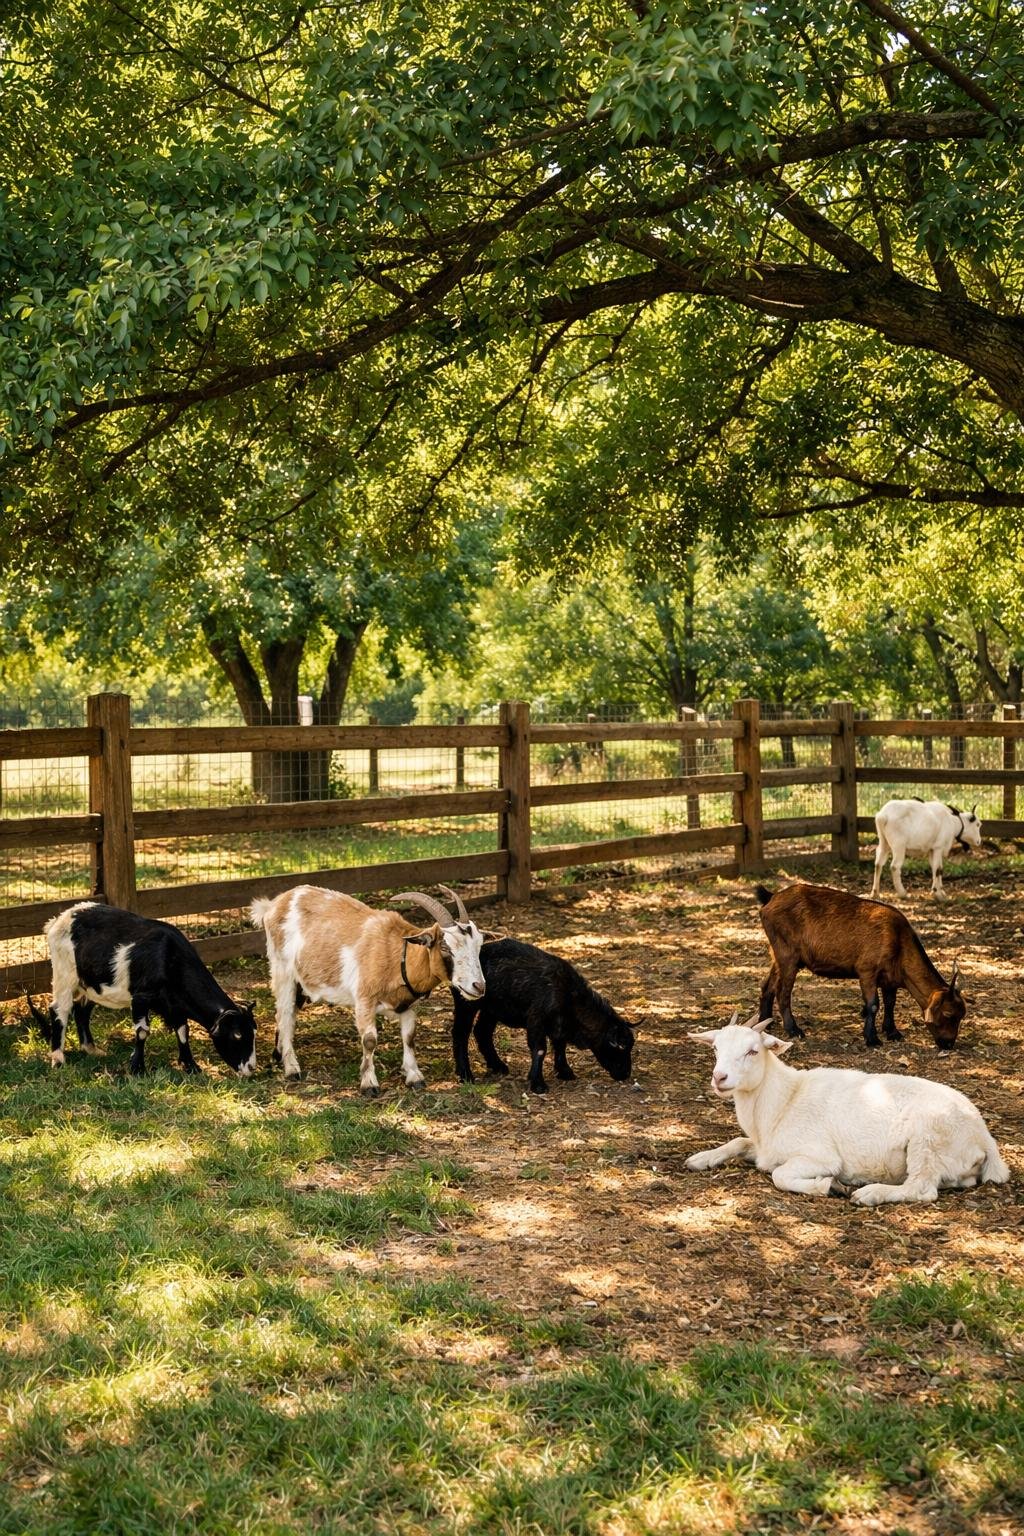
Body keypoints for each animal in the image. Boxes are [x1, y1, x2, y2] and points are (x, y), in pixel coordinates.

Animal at [29, 902, 256, 1076]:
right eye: (237, 1034)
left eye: (253, 1032)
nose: (251, 1068)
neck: (168, 957)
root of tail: (59, 919)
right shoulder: (140, 997)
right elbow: (142, 1032)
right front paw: (137, 1068)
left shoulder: (175, 1004)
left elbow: (183, 1030)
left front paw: (191, 1066)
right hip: (64, 973)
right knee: (59, 1010)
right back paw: (58, 1059)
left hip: (90, 983)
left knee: (81, 1010)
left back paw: (92, 1049)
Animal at [251, 883, 488, 1094]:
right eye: (445, 947)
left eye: (479, 945)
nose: (478, 986)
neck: (397, 955)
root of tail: (274, 905)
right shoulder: (364, 999)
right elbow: (370, 1040)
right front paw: (369, 1084)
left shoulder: (408, 1005)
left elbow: (409, 1037)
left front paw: (414, 1077)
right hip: (282, 970)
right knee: (284, 1014)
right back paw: (292, 1069)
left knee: (289, 1014)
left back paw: (279, 1055)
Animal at [450, 938, 635, 1093]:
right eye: (619, 1047)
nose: (625, 1073)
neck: (569, 996)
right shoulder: (536, 1020)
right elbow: (540, 1049)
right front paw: (538, 1084)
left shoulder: (559, 1024)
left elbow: (560, 1045)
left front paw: (565, 1071)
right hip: (467, 1003)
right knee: (461, 1033)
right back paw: (465, 1074)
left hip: (492, 1009)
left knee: (482, 1032)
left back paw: (498, 1065)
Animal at [685, 1011, 1009, 1205]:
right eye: (715, 1048)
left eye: (753, 1051)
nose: (719, 1078)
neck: (784, 1100)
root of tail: (985, 1138)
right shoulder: (765, 1148)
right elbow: (738, 1141)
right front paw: (700, 1159)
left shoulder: (820, 1156)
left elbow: (780, 1176)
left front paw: (829, 1186)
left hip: (927, 1140)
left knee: (922, 1188)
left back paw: (869, 1194)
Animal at [756, 882, 965, 1049]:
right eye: (948, 1014)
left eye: (961, 1015)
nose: (948, 1044)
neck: (898, 940)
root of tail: (771, 897)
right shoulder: (867, 971)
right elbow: (873, 1004)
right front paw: (872, 1038)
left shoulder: (890, 979)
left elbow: (890, 1002)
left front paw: (892, 1032)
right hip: (788, 955)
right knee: (783, 991)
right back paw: (793, 1029)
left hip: (778, 954)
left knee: (768, 985)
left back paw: (765, 1021)